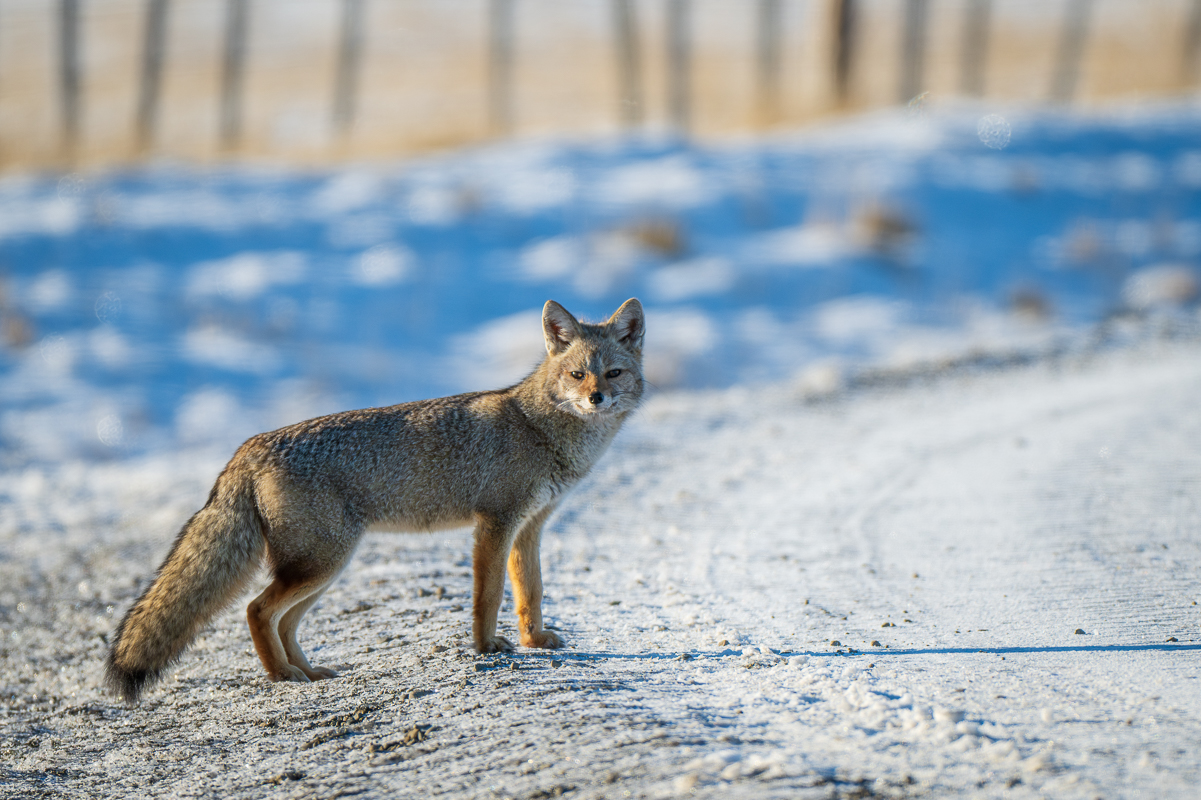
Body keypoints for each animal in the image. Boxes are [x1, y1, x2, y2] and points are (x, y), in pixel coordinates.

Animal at [106, 298, 645, 703]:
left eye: (614, 373)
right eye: (577, 375)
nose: (596, 398)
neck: (539, 427)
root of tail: (249, 447)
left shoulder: (530, 526)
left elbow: (531, 591)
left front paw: (535, 641)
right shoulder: (495, 522)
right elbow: (489, 595)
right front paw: (486, 647)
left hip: (324, 569)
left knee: (283, 621)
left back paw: (308, 671)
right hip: (320, 564)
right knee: (257, 611)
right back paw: (282, 677)